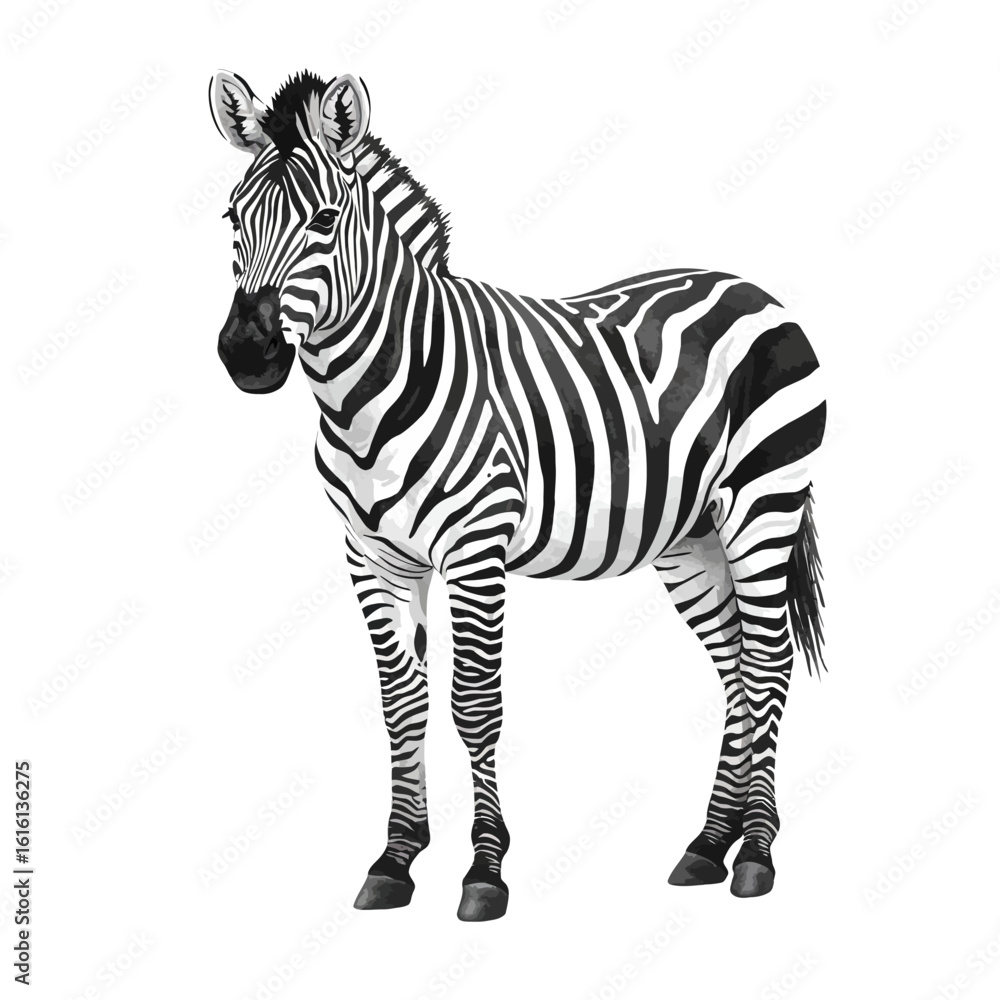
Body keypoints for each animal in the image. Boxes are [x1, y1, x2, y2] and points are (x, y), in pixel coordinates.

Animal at [209, 69, 827, 921]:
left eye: (327, 221)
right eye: (231, 219)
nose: (247, 354)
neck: (373, 389)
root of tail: (752, 289)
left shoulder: (476, 549)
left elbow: (474, 704)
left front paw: (484, 870)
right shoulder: (373, 556)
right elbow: (401, 703)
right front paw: (396, 859)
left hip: (764, 506)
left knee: (767, 667)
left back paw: (757, 856)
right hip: (691, 540)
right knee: (736, 670)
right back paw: (708, 845)